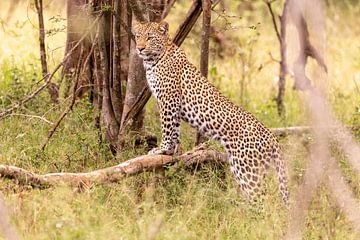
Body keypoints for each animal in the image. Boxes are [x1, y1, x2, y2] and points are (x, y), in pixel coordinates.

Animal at [133, 21, 290, 204]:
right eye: (138, 36)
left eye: (150, 37)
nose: (140, 48)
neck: (153, 60)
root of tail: (270, 136)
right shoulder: (173, 105)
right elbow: (175, 129)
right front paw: (172, 151)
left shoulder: (168, 100)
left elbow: (166, 127)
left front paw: (161, 149)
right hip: (244, 169)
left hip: (248, 169)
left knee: (264, 202)